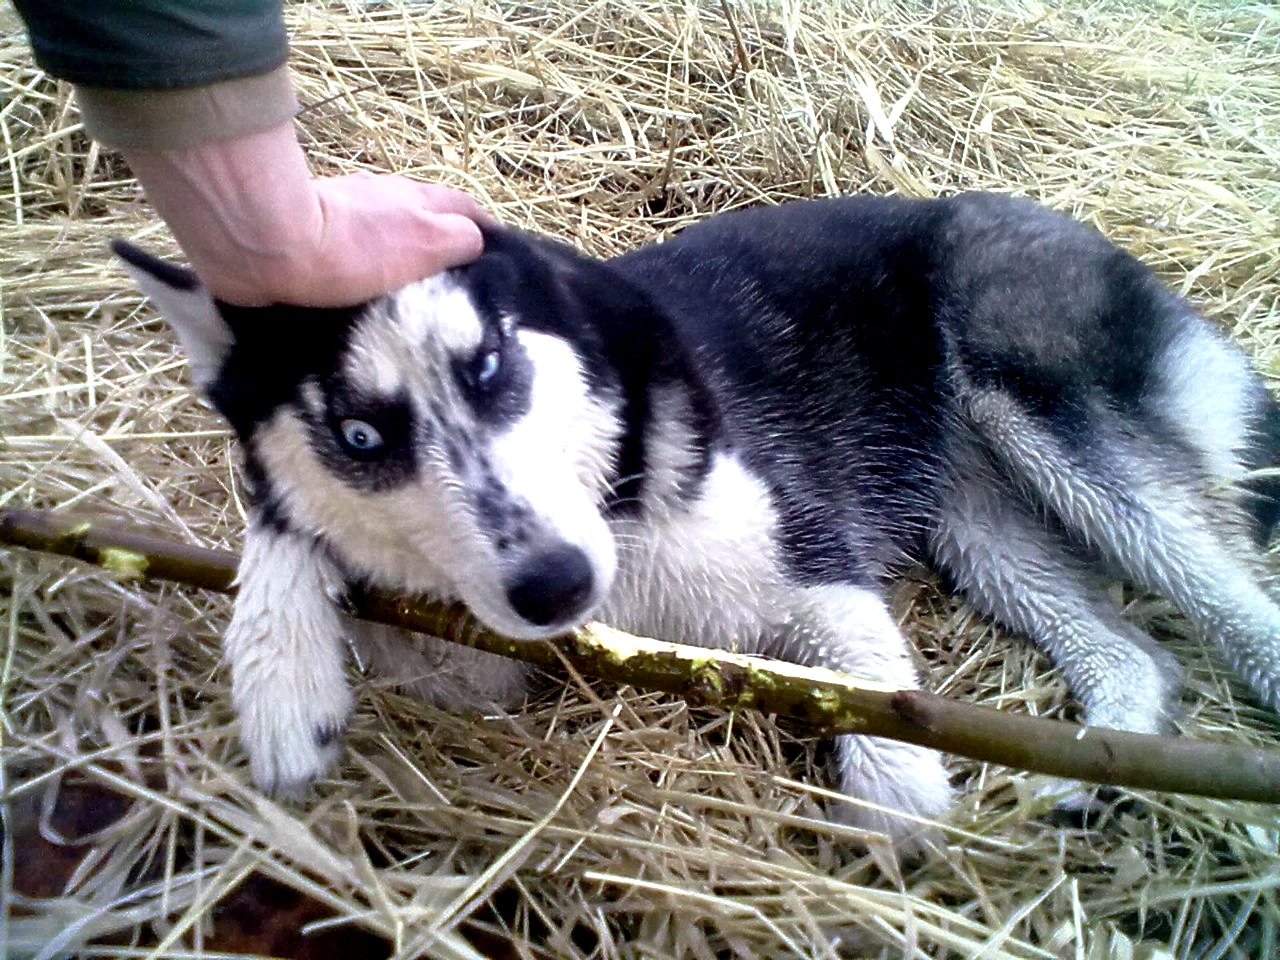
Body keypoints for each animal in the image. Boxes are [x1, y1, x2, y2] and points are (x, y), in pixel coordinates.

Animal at [115, 195, 1274, 849]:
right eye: (359, 437)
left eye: (488, 366)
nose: (555, 585)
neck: (614, 514)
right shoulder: (478, 657)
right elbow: (289, 537)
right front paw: (282, 678)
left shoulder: (813, 567)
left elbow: (880, 741)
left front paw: (893, 798)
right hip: (981, 532)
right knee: (1131, 649)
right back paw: (1103, 757)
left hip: (1049, 424)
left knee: (1232, 596)